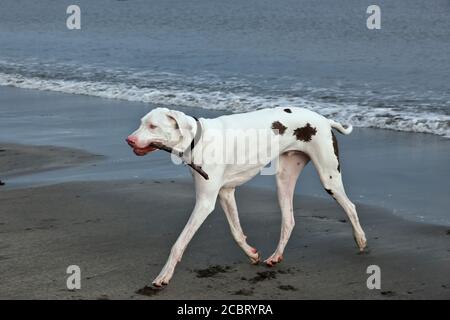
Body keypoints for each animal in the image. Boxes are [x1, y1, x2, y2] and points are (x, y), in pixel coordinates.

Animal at [125, 106, 366, 286]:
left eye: (153, 126)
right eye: (141, 123)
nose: (129, 140)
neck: (199, 139)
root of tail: (324, 120)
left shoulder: (205, 203)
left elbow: (179, 243)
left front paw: (164, 275)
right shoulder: (226, 194)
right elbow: (236, 232)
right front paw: (251, 254)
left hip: (329, 178)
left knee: (350, 206)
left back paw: (360, 239)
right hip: (284, 180)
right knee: (289, 220)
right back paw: (276, 256)